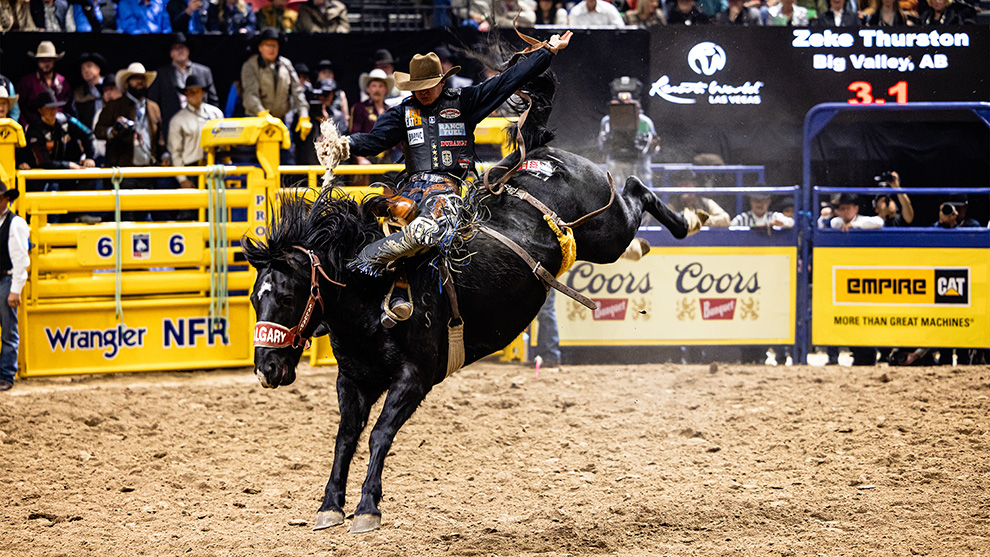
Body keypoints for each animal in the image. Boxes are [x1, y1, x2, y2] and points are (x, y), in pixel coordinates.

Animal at [244, 71, 700, 532]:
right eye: (252, 299)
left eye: (287, 296)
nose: (266, 369)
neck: (370, 293)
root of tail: (537, 152)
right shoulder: (352, 380)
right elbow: (345, 437)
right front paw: (330, 505)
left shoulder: (415, 377)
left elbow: (379, 435)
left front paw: (368, 507)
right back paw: (648, 243)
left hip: (607, 229)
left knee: (635, 189)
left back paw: (693, 218)